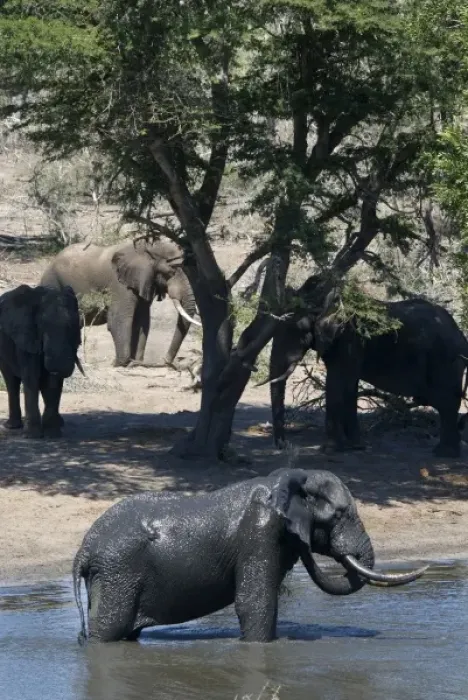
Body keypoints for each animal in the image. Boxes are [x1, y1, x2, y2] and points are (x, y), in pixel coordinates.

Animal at [0, 284, 84, 438]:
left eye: (76, 327)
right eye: (42, 327)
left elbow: (52, 384)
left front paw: (52, 434)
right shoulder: (26, 337)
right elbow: (31, 378)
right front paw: (33, 435)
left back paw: (59, 423)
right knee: (11, 382)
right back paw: (12, 426)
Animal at [40, 235, 201, 368]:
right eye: (172, 271)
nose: (165, 360)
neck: (147, 248)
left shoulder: (143, 282)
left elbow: (142, 321)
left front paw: (135, 362)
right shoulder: (119, 285)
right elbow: (119, 320)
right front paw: (119, 363)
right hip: (53, 283)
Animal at [73, 467, 427, 643]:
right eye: (340, 515)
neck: (285, 481)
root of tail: (83, 551)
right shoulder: (260, 535)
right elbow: (254, 603)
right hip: (118, 572)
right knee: (109, 631)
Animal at [262, 276, 468, 457]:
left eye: (294, 330)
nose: (283, 445)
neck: (326, 299)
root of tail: (460, 334)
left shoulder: (349, 339)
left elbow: (336, 384)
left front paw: (329, 449)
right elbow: (349, 387)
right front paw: (355, 447)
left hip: (445, 359)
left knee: (446, 401)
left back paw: (444, 454)